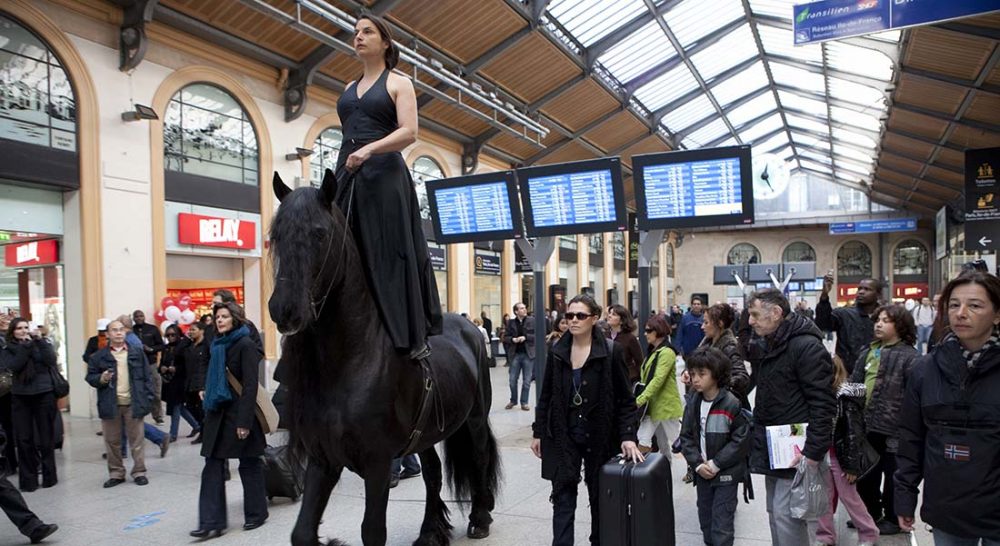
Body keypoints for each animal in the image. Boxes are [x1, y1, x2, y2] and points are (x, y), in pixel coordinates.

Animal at [270, 171, 500, 544]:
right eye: (275, 236)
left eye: (319, 233)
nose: (284, 309)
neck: (349, 363)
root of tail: (470, 328)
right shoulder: (323, 459)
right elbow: (302, 532)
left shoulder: (377, 463)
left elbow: (373, 530)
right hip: (426, 433)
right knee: (433, 472)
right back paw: (430, 529)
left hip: (476, 417)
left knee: (479, 457)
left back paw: (480, 516)